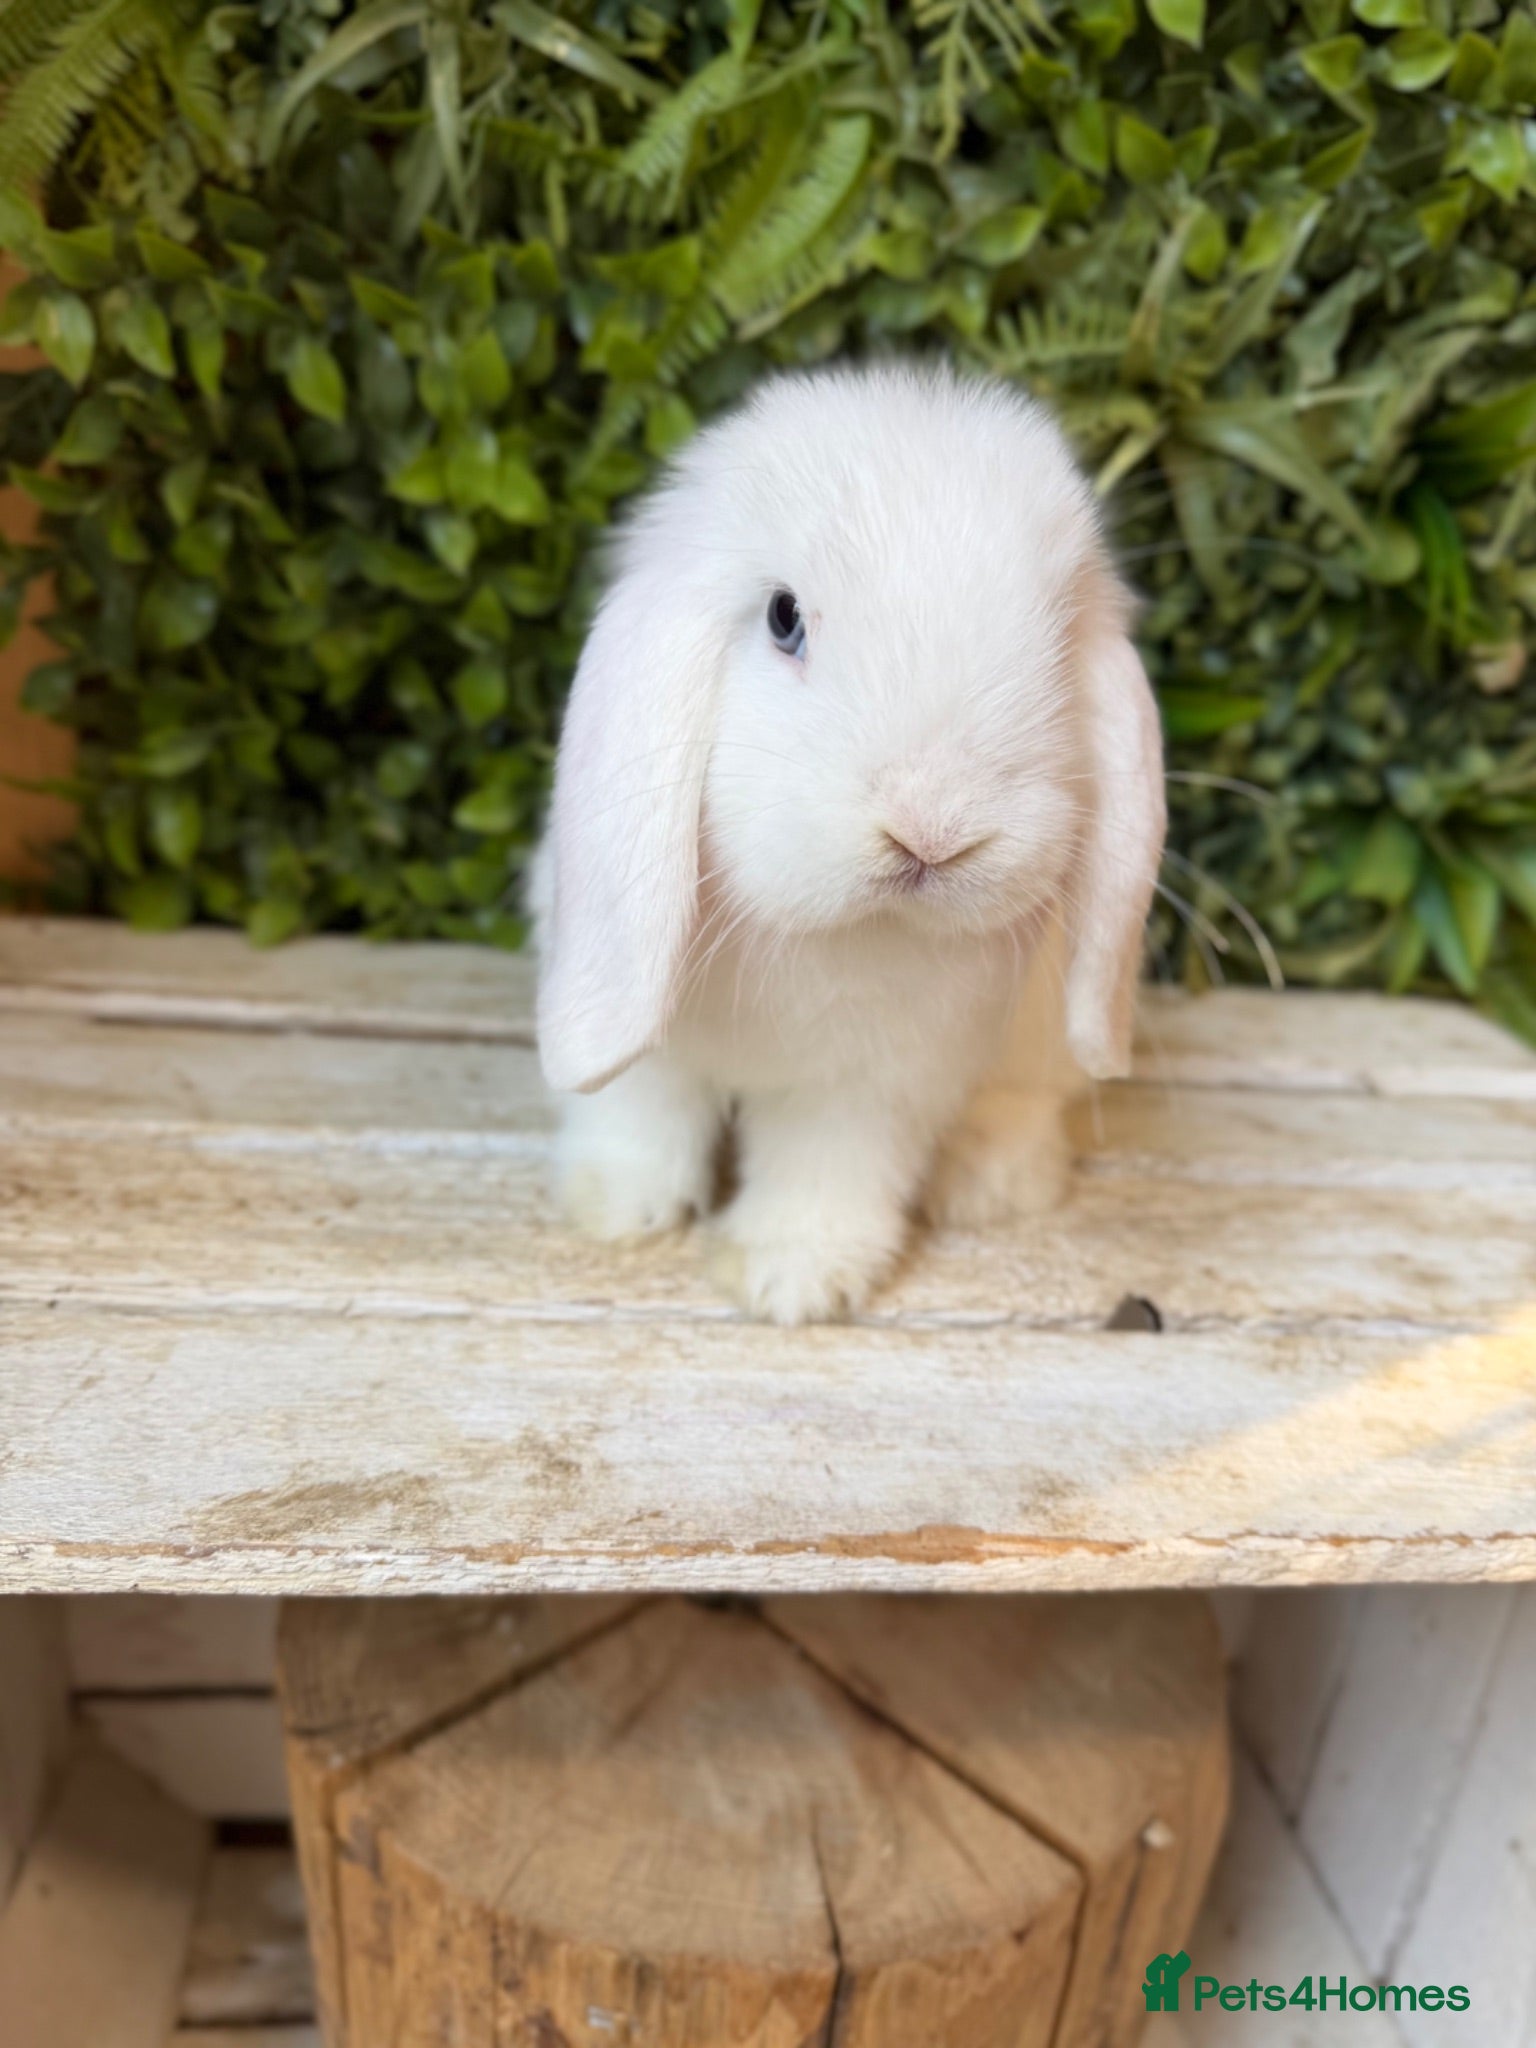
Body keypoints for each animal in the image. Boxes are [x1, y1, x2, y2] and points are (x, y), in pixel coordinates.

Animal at [531, 361, 1165, 1324]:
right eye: (783, 617)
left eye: (1060, 643)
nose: (932, 827)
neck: (824, 935)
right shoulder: (647, 1040)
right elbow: (638, 1108)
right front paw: (615, 1209)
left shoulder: (871, 1082)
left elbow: (825, 1167)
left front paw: (788, 1278)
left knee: (1020, 1104)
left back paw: (988, 1186)